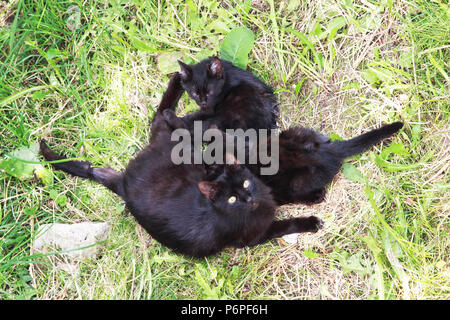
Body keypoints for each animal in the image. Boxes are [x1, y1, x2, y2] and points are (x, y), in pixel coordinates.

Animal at [38, 74, 320, 258]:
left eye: (246, 183)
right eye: (231, 200)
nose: (249, 199)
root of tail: (123, 183)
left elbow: (276, 194)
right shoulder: (254, 235)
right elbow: (283, 225)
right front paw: (310, 220)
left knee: (161, 117)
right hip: (184, 149)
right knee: (163, 117)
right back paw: (177, 89)